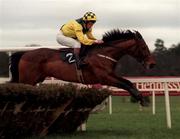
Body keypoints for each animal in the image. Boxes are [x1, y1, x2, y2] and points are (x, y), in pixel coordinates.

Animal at [9, 29, 155, 105]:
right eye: (143, 47)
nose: (152, 64)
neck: (103, 54)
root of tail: (24, 53)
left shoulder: (109, 75)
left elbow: (128, 82)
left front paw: (141, 98)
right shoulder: (104, 77)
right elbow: (125, 84)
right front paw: (140, 98)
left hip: (35, 79)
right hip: (27, 80)